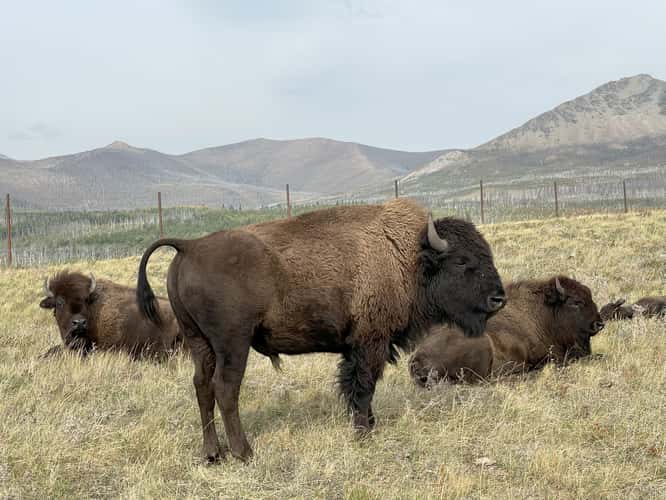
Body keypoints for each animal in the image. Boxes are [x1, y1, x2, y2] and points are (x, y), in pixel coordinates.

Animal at [136, 199, 506, 462]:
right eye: (461, 260)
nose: (498, 298)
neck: (409, 257)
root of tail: (190, 246)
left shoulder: (359, 347)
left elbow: (357, 386)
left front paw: (368, 426)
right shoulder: (369, 343)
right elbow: (363, 386)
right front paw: (363, 433)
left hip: (199, 343)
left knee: (202, 386)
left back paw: (213, 453)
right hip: (232, 344)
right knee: (225, 389)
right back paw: (244, 453)